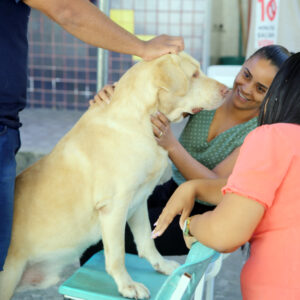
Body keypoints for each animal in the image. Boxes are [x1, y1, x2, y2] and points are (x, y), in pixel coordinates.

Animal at [0, 52, 227, 300]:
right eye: (194, 74)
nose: (227, 90)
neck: (141, 121)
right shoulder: (114, 207)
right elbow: (117, 255)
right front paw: (127, 286)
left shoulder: (139, 201)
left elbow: (147, 241)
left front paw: (161, 266)